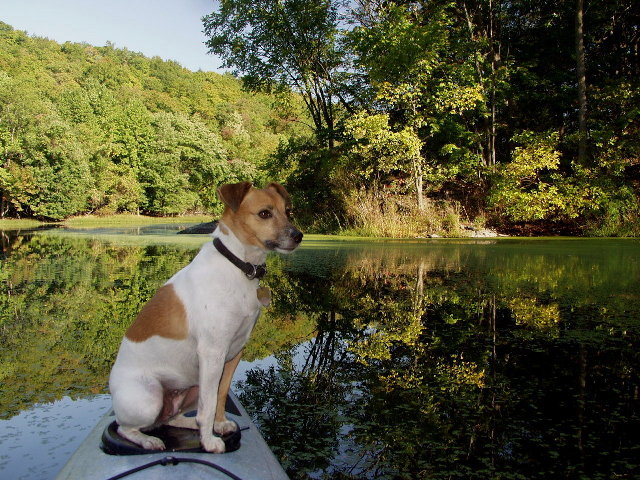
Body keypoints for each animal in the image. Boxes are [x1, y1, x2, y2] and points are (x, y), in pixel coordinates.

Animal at [108, 182, 302, 452]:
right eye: (264, 213)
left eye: (288, 211)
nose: (298, 235)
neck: (238, 266)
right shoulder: (213, 353)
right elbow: (209, 405)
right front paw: (210, 442)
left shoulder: (234, 351)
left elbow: (220, 395)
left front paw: (218, 426)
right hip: (148, 398)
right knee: (126, 428)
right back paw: (149, 440)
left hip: (190, 388)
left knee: (172, 418)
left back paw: (190, 425)